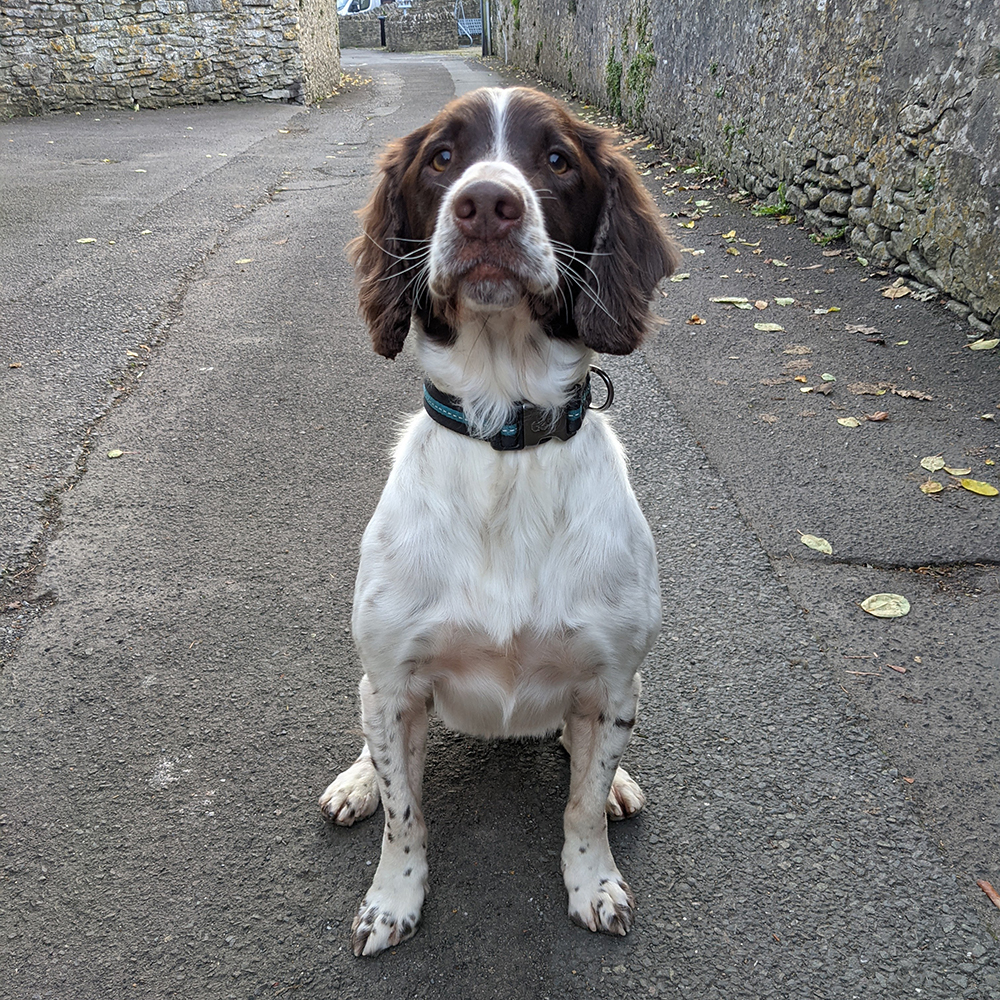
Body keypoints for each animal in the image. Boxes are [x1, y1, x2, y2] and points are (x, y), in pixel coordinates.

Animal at [320, 86, 680, 952]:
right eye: (441, 159)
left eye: (556, 159)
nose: (486, 205)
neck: (503, 439)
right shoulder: (396, 683)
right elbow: (404, 815)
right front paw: (393, 899)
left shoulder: (611, 680)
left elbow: (581, 807)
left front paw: (595, 881)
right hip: (374, 686)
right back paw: (354, 781)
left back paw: (620, 785)